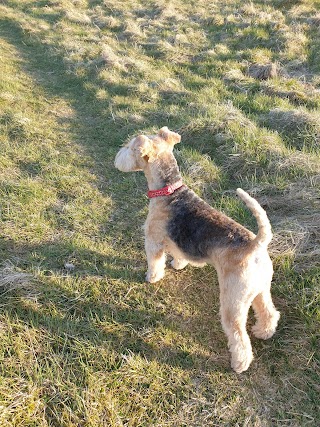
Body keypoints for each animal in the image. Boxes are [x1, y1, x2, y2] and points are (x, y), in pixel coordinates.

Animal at [115, 128, 280, 374]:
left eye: (131, 147)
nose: (118, 156)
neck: (169, 191)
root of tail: (255, 244)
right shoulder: (176, 242)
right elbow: (178, 255)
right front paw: (178, 265)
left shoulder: (153, 240)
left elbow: (154, 262)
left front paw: (152, 278)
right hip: (260, 289)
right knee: (269, 312)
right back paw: (264, 332)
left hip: (232, 302)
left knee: (239, 336)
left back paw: (239, 364)